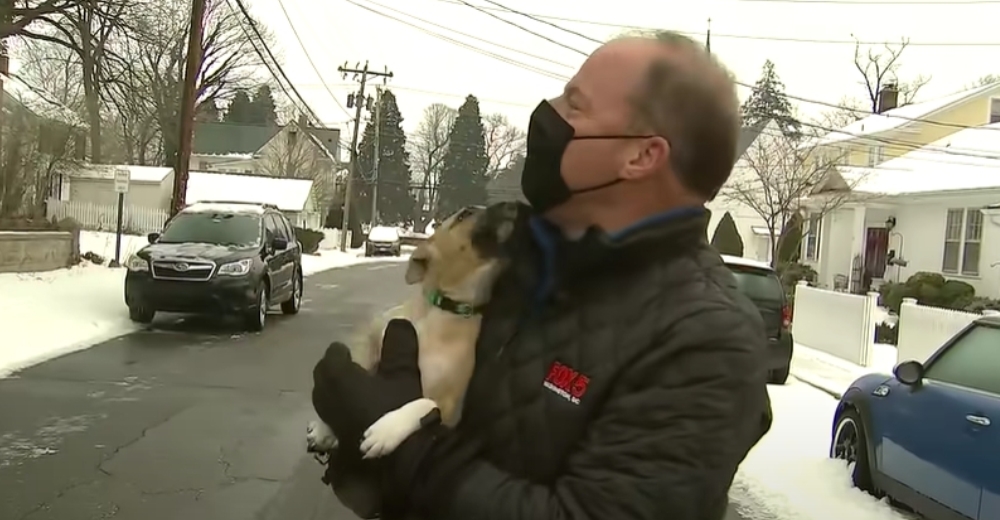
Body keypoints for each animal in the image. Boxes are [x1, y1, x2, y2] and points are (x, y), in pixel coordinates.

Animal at [306, 202, 524, 460]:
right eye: (466, 213)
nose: (512, 205)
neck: (438, 309)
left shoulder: (450, 408)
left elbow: (425, 404)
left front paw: (387, 430)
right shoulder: (374, 336)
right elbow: (359, 359)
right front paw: (323, 428)